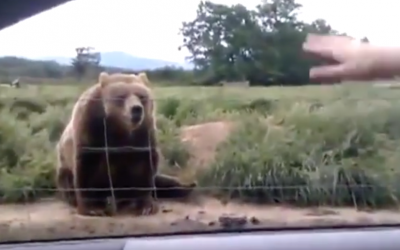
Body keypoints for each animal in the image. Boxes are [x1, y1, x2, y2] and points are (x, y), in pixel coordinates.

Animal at [55, 71, 197, 216]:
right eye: (121, 96)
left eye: (141, 96)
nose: (136, 109)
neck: (120, 127)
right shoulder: (91, 127)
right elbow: (86, 165)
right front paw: (93, 208)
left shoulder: (143, 133)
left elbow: (145, 166)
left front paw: (145, 206)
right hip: (64, 167)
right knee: (67, 180)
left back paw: (188, 185)